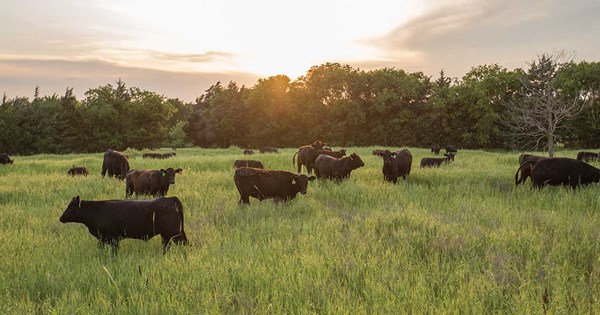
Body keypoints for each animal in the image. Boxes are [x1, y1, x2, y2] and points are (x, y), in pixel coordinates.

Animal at [60, 196, 188, 253]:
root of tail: (170, 198)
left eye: (70, 207)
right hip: (166, 235)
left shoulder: (113, 238)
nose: (61, 218)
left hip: (175, 233)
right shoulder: (102, 239)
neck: (97, 210)